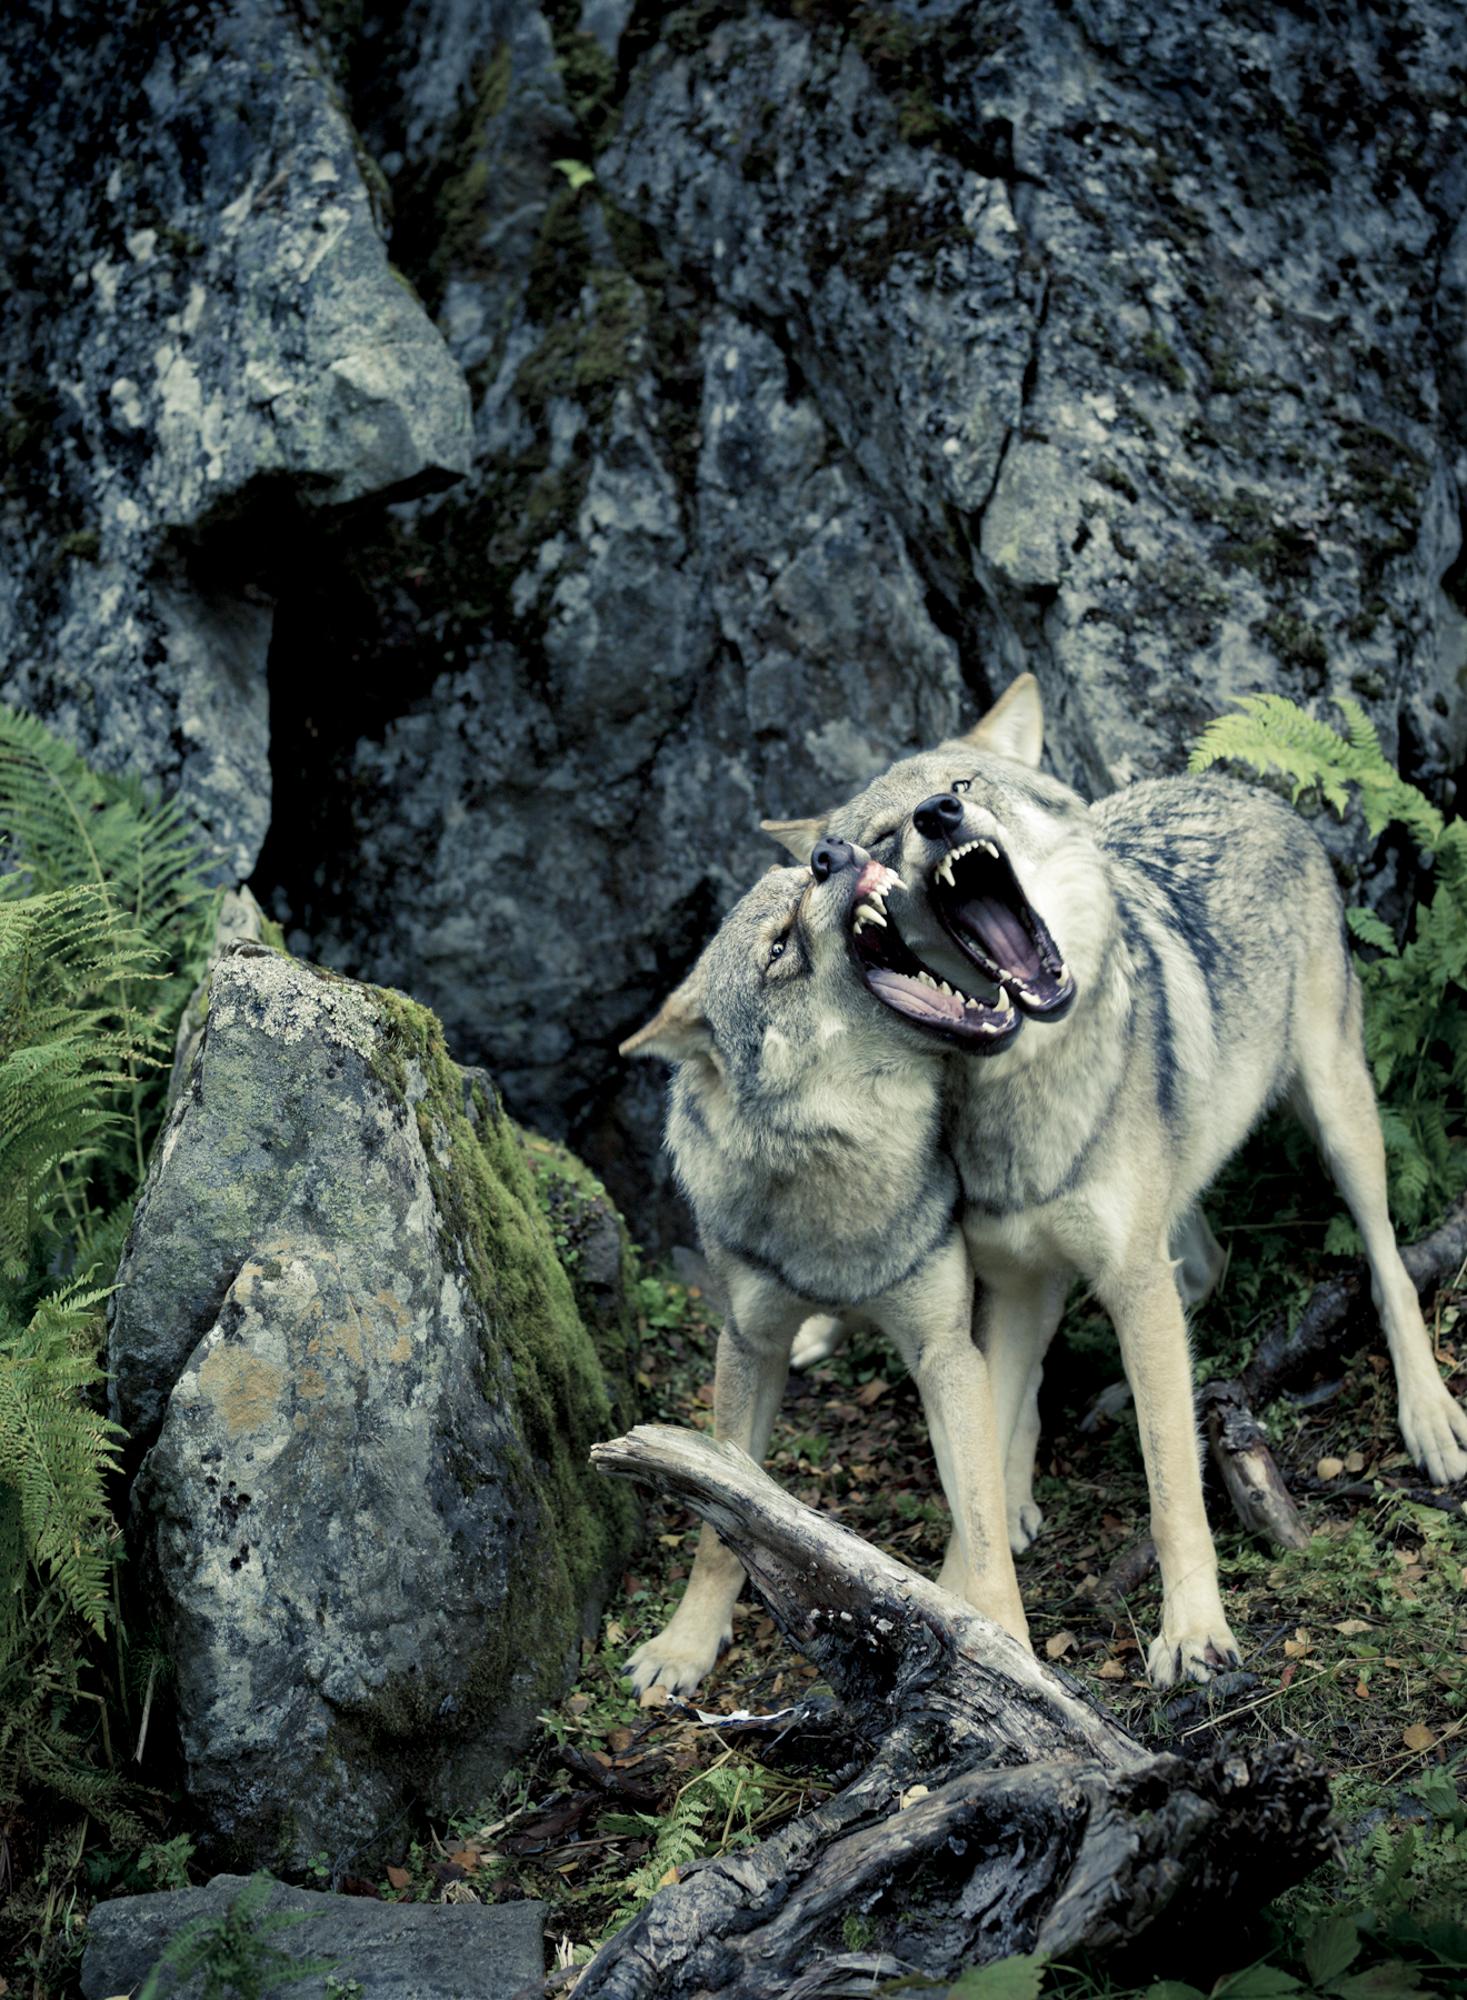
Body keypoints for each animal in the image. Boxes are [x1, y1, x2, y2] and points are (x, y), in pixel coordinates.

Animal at [619, 852, 1031, 1696]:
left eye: (800, 875)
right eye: (777, 947)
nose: (829, 852)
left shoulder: (945, 1352)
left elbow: (976, 1528)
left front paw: (1010, 1649)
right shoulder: (746, 1346)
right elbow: (718, 1526)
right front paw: (684, 1644)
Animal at [763, 676, 1463, 1688]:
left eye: (962, 784)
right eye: (886, 835)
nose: (938, 816)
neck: (1017, 1090)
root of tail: (1234, 781)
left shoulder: (1120, 1272)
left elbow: (1171, 1489)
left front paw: (1194, 1633)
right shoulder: (1018, 1280)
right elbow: (982, 1457)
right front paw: (961, 1606)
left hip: (1338, 1114)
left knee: (1379, 1264)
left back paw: (1428, 1415)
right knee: (1194, 1276)